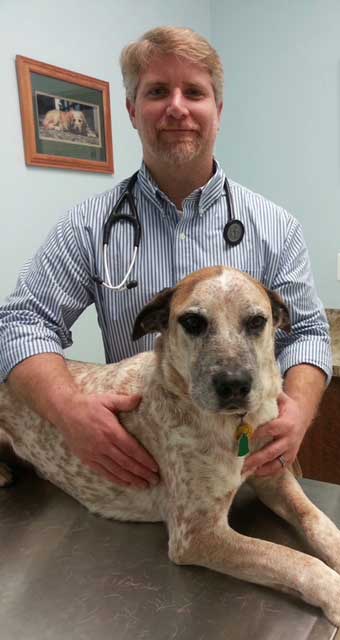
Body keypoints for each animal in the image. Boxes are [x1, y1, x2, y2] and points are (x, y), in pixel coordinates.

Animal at [0, 266, 340, 624]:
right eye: (192, 322)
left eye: (256, 321)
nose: (234, 384)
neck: (233, 426)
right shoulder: (196, 534)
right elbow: (292, 558)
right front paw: (333, 590)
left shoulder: (272, 476)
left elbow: (317, 521)